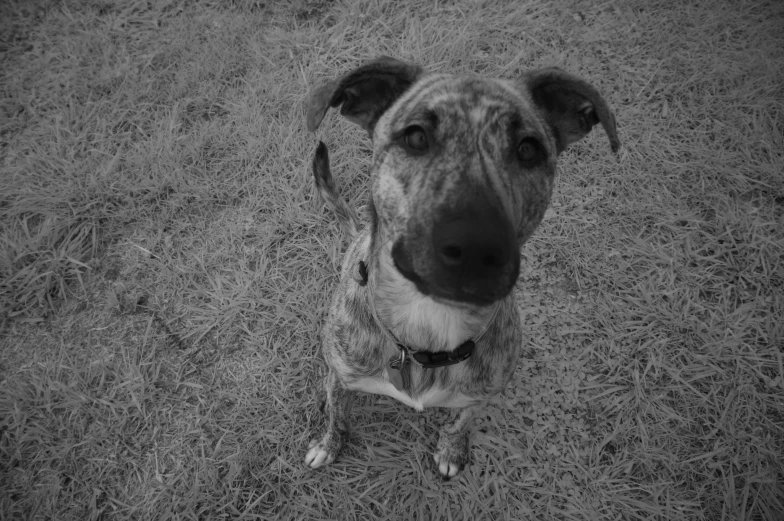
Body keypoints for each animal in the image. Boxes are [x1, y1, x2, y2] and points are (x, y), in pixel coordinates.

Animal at [304, 57, 616, 480]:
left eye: (528, 149)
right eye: (415, 137)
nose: (475, 247)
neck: (428, 320)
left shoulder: (481, 394)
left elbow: (461, 421)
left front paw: (451, 450)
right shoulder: (342, 374)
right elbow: (338, 414)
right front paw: (329, 444)